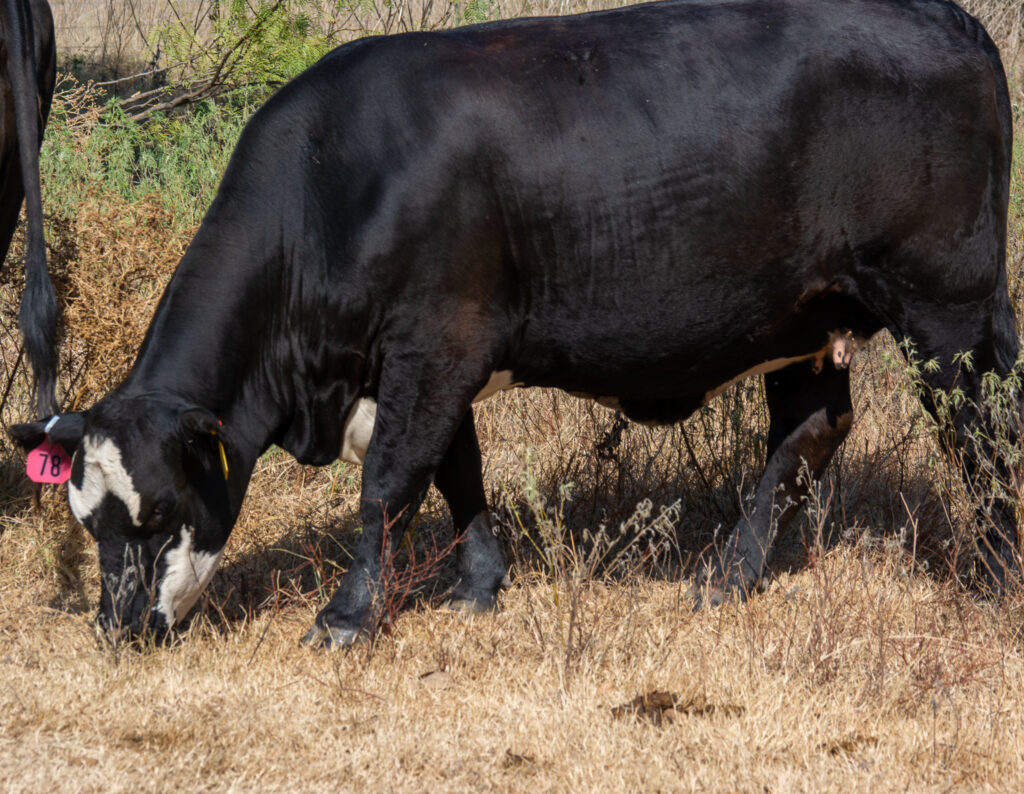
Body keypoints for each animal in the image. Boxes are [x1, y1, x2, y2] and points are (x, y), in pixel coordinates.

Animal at [9, 0, 1024, 647]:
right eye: (90, 524)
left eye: (160, 511)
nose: (120, 630)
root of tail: (950, 18)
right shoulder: (435, 362)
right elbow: (459, 475)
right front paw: (479, 585)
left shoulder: (433, 348)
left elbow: (388, 484)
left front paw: (346, 618)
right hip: (805, 319)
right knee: (808, 432)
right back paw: (728, 575)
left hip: (949, 315)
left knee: (987, 436)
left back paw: (999, 567)